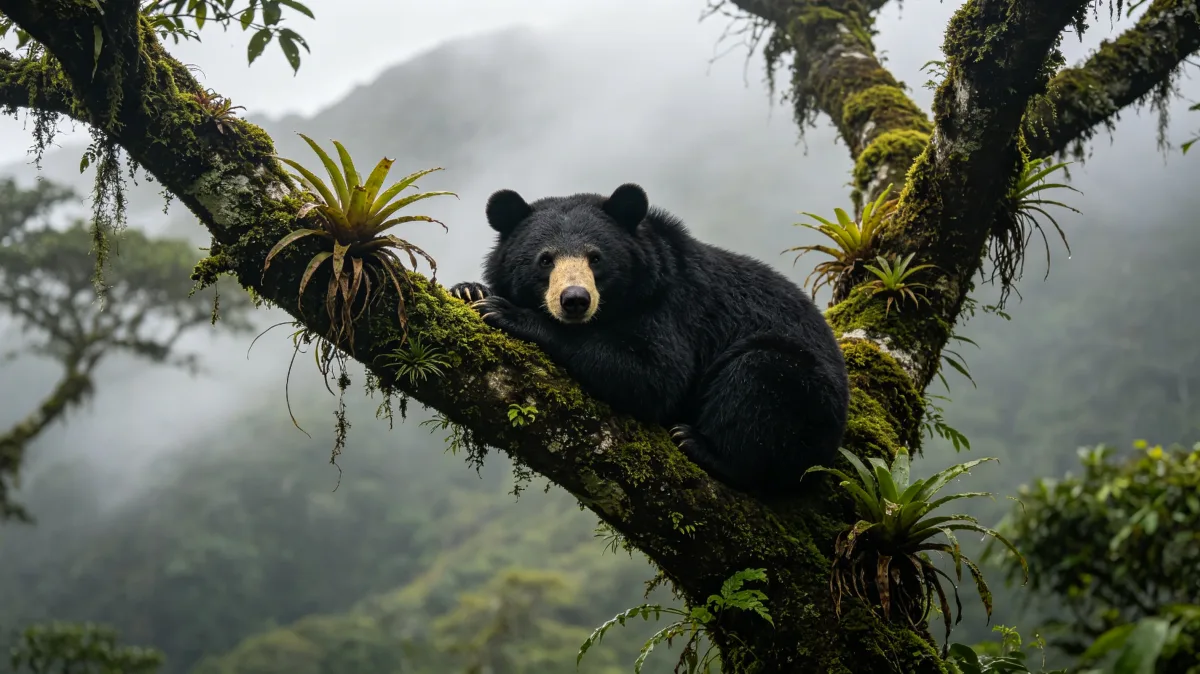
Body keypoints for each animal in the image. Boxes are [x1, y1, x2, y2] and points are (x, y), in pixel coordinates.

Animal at [448, 183, 850, 498]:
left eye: (595, 258)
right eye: (545, 260)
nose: (575, 300)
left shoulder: (671, 307)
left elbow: (653, 377)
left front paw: (508, 313)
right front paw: (469, 289)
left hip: (807, 402)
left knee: (759, 379)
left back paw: (699, 444)